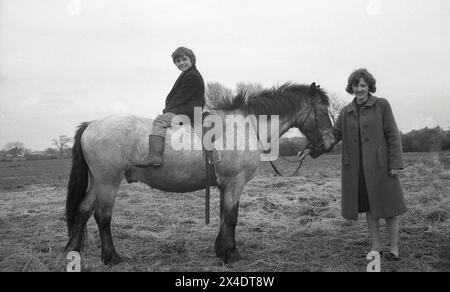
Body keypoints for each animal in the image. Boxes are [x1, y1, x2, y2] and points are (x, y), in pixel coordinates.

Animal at [65, 81, 336, 264]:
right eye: (323, 111)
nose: (331, 143)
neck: (246, 127)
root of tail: (91, 125)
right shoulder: (235, 183)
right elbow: (232, 217)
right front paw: (232, 254)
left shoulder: (225, 185)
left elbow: (223, 215)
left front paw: (221, 250)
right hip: (109, 182)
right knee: (102, 216)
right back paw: (111, 256)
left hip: (98, 182)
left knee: (82, 210)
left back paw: (73, 251)